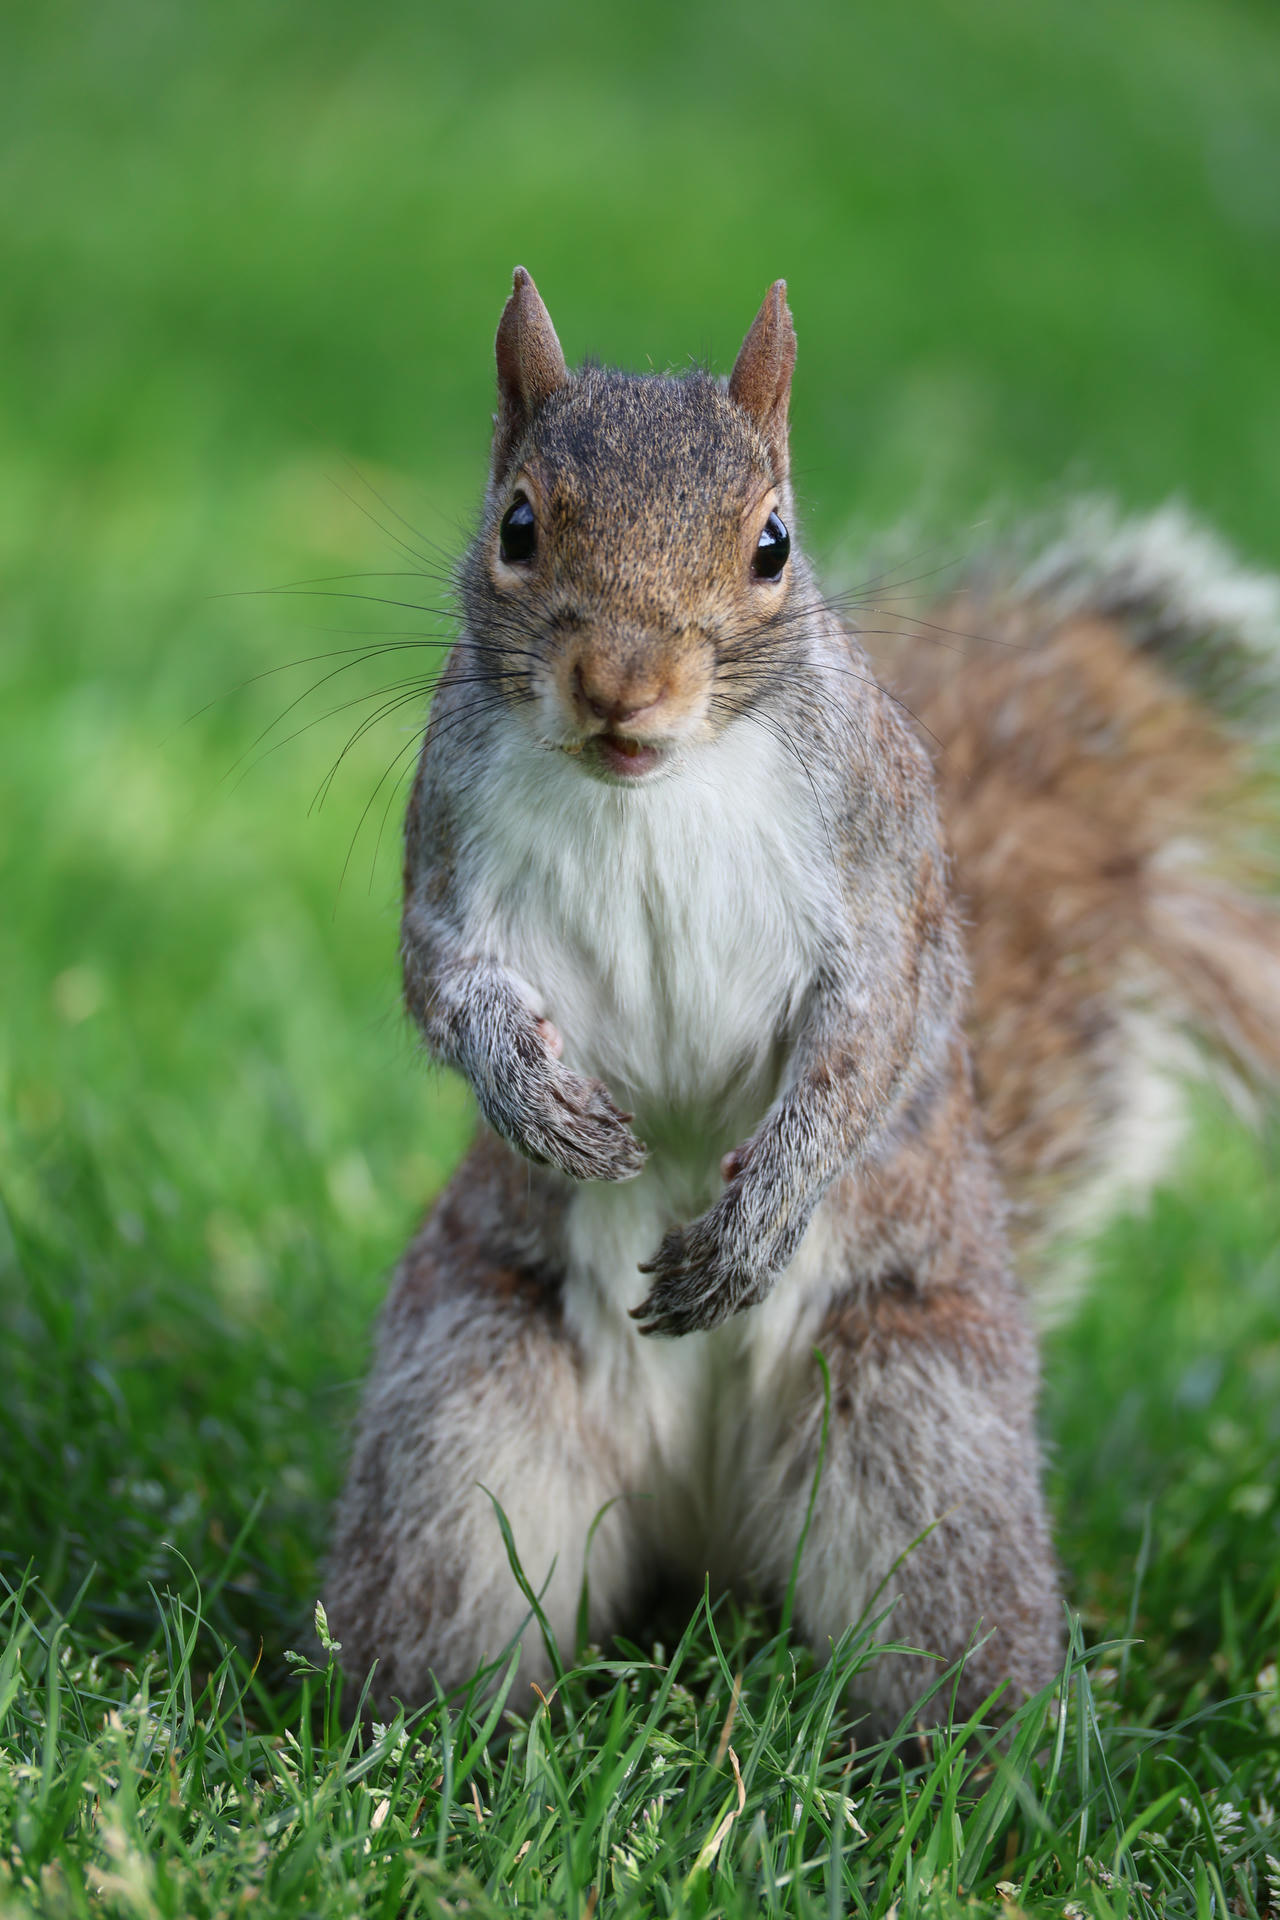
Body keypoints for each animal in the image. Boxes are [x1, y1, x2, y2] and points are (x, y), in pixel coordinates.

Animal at [326, 270, 1280, 1733]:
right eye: (517, 527)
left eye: (772, 543)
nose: (622, 687)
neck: (649, 785)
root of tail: (710, 1528)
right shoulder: (444, 845)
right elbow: (443, 980)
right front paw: (533, 1097)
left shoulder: (878, 874)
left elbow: (870, 1034)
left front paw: (755, 1219)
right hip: (464, 1411)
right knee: (455, 1608)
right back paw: (428, 1743)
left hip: (916, 1431)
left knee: (946, 1646)